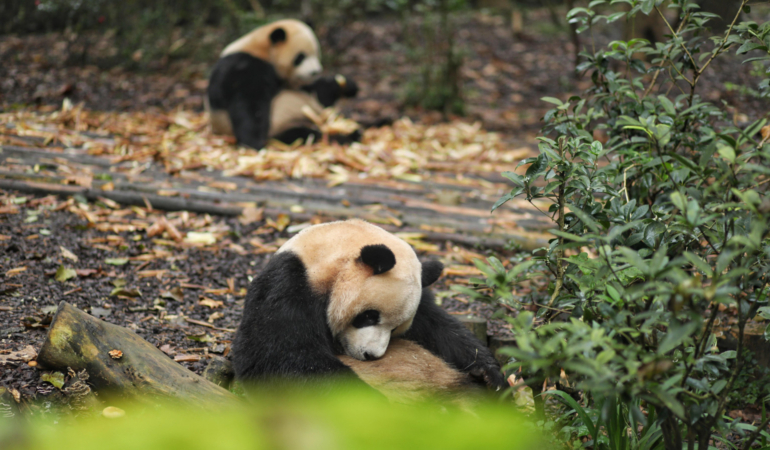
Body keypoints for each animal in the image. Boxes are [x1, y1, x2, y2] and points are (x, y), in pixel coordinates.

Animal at [207, 19, 361, 149]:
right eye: (300, 57)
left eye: (316, 53)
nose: (315, 72)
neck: (261, 48)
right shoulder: (244, 64)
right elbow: (248, 101)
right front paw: (253, 142)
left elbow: (318, 91)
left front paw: (347, 85)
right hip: (282, 124)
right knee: (303, 134)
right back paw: (346, 137)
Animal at [232, 219, 505, 400]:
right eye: (368, 317)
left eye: (396, 329)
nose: (371, 355)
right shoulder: (289, 286)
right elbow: (280, 358)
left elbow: (438, 327)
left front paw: (489, 374)